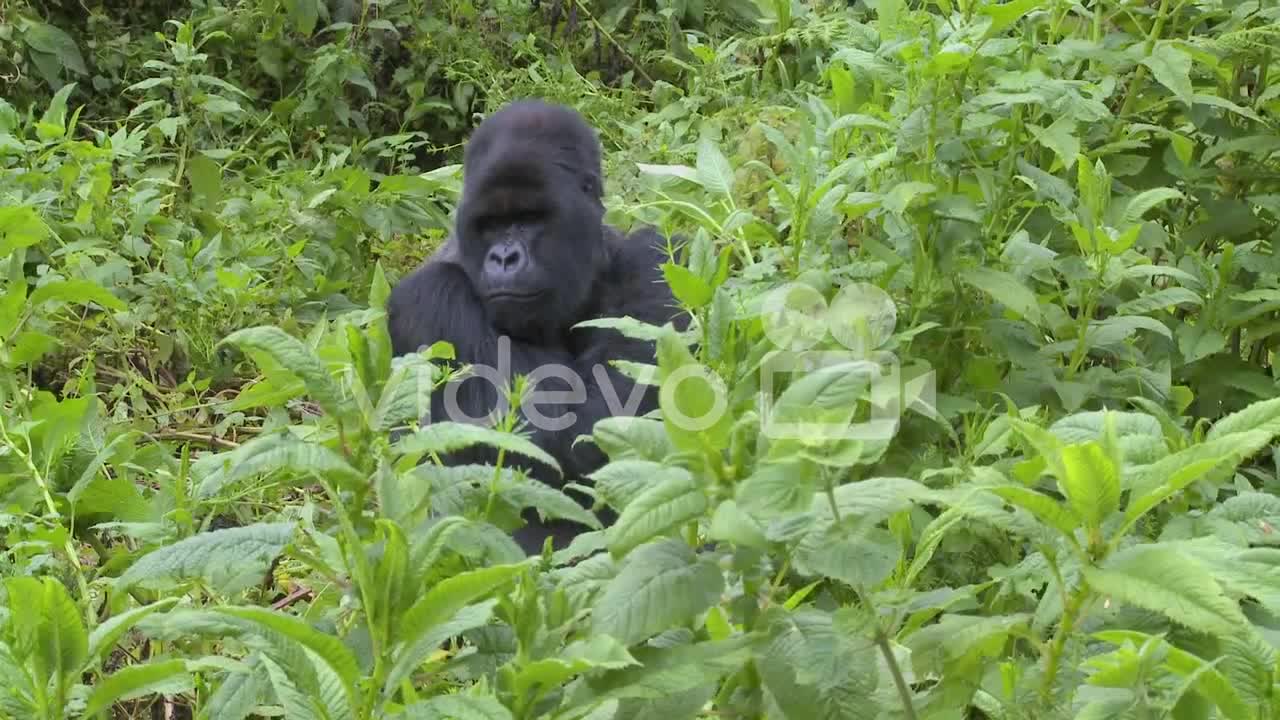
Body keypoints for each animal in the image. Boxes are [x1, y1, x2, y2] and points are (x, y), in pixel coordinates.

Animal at [386, 98, 691, 550]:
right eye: (490, 225)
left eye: (529, 218)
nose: (504, 257)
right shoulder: (429, 297)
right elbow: (549, 436)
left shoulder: (657, 259)